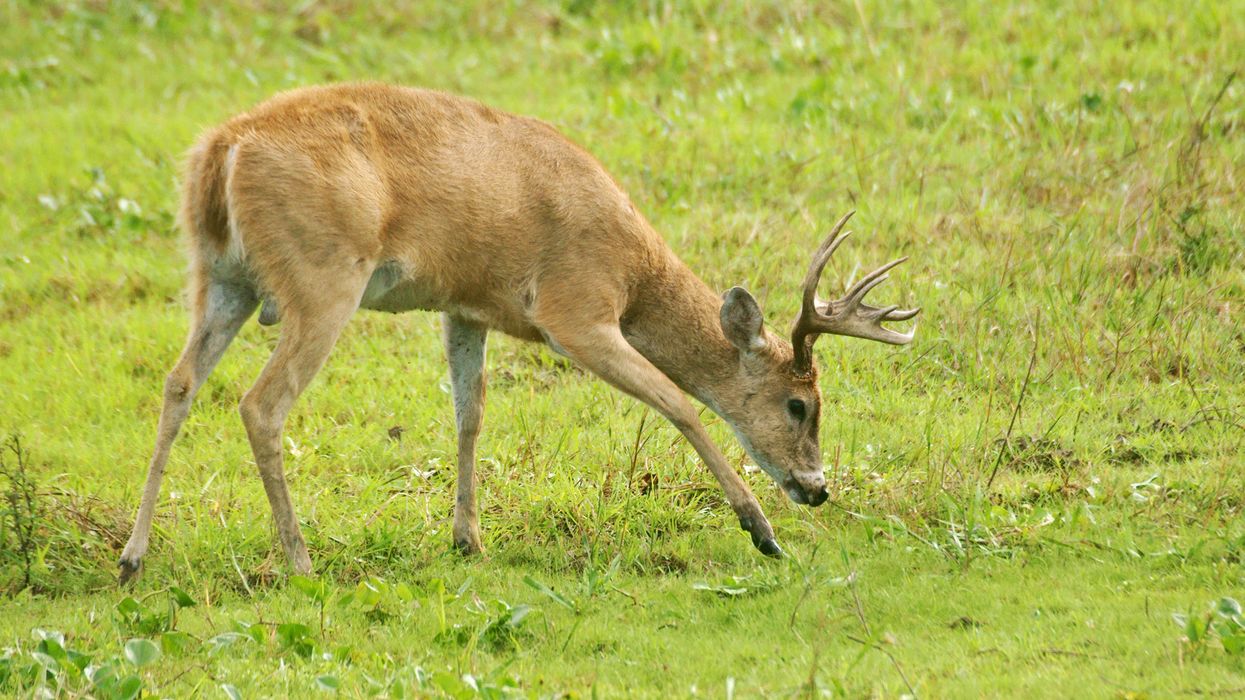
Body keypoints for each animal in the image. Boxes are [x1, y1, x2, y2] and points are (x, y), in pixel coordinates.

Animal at [118, 83, 917, 584]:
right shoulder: (574, 311)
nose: (816, 489)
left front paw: (467, 539)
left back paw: (133, 557)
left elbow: (469, 415)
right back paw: (300, 561)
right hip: (322, 278)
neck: (635, 270)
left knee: (179, 383)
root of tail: (221, 151)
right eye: (798, 404)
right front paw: (761, 531)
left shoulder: (465, 308)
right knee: (261, 403)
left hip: (221, 278)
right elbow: (679, 404)